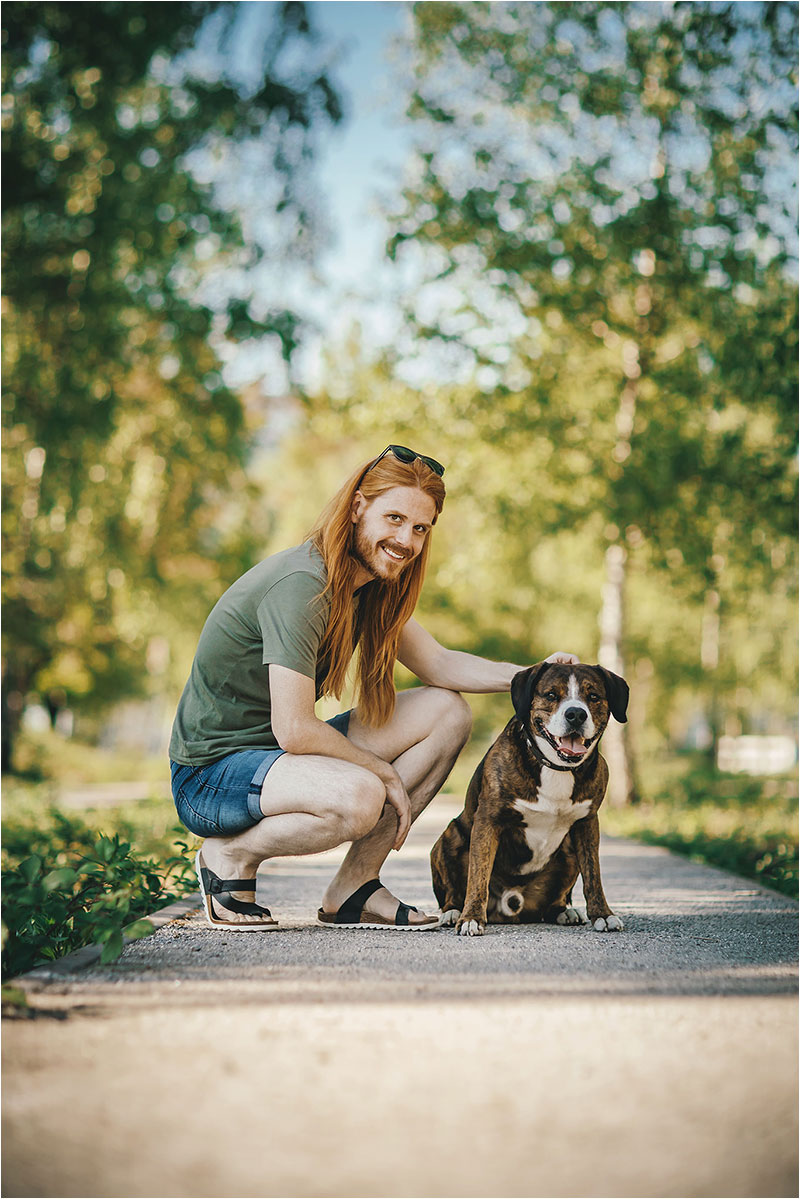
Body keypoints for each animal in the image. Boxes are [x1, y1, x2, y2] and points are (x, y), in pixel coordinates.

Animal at [431, 666, 633, 935]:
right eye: (551, 694)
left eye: (593, 697)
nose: (576, 714)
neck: (556, 767)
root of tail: (511, 906)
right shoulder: (488, 820)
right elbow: (478, 874)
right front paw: (471, 917)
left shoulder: (587, 823)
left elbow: (594, 875)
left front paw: (603, 914)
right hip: (449, 835)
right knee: (454, 889)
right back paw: (453, 911)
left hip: (568, 850)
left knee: (556, 899)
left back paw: (563, 911)